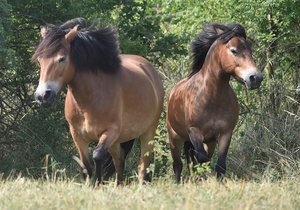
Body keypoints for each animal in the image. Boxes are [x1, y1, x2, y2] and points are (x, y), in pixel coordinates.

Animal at [32, 18, 164, 185]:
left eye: (62, 58)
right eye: (39, 60)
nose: (43, 96)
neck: (88, 103)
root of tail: (150, 71)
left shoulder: (110, 132)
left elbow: (98, 156)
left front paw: (98, 183)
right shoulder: (77, 135)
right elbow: (86, 166)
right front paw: (89, 185)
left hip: (147, 133)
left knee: (143, 164)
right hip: (117, 142)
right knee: (119, 161)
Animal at [166, 23, 262, 182]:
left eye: (250, 49)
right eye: (234, 50)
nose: (256, 78)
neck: (212, 98)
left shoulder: (225, 134)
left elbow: (219, 165)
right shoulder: (194, 132)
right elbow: (201, 158)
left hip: (208, 142)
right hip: (175, 138)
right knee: (178, 165)